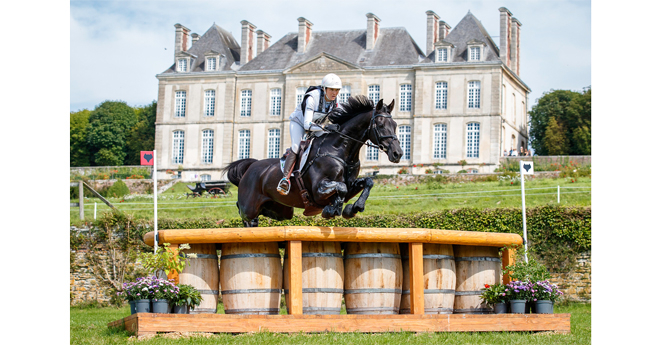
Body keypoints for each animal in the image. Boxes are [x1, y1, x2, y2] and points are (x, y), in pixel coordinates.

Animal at [224, 95, 404, 227]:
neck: (341, 151)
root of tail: (250, 167)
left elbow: (367, 182)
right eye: (380, 124)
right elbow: (341, 187)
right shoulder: (318, 190)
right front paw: (332, 209)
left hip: (283, 211)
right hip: (250, 206)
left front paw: (353, 208)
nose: (398, 153)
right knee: (244, 212)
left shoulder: (351, 184)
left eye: (395, 124)